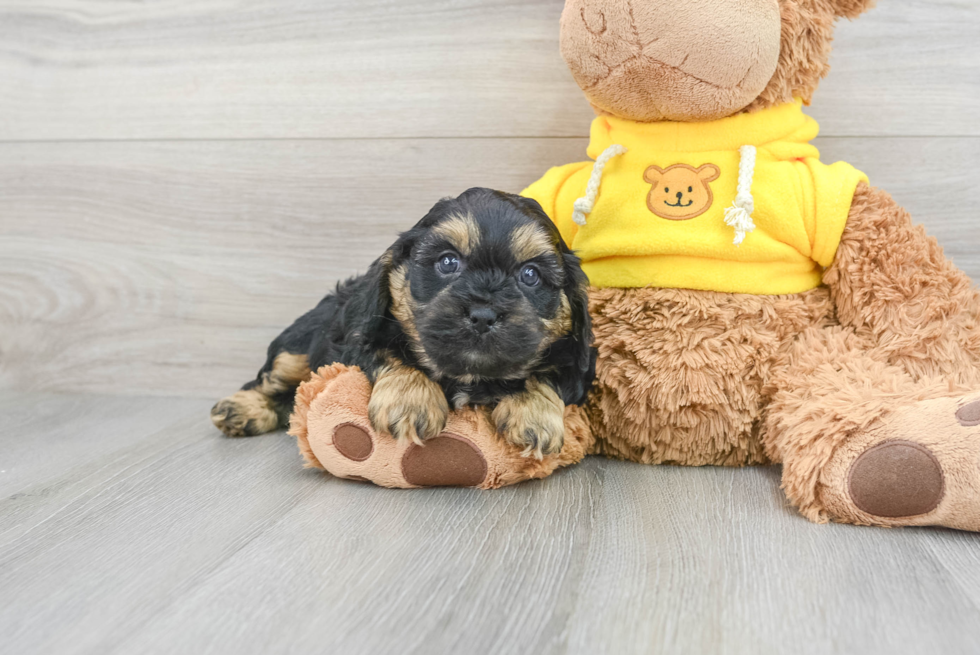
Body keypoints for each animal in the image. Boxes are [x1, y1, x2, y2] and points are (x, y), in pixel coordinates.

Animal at [211, 187, 592, 458]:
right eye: (448, 262)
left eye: (530, 275)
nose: (483, 314)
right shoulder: (360, 338)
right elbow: (392, 351)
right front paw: (411, 401)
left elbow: (547, 374)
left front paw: (534, 414)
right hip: (296, 347)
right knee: (275, 379)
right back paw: (242, 409)